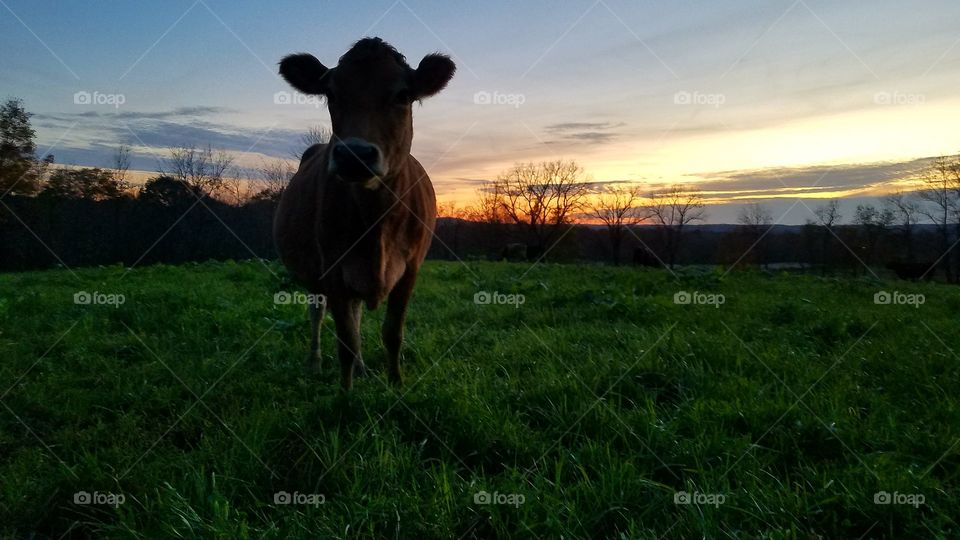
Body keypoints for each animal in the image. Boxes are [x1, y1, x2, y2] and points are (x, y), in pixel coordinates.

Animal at [273, 38, 455, 390]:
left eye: (403, 95)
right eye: (331, 93)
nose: (354, 155)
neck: (377, 225)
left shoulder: (411, 267)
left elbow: (392, 333)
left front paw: (396, 384)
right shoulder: (331, 267)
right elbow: (345, 340)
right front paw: (345, 396)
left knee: (355, 314)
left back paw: (361, 368)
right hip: (317, 276)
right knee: (317, 313)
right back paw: (315, 363)